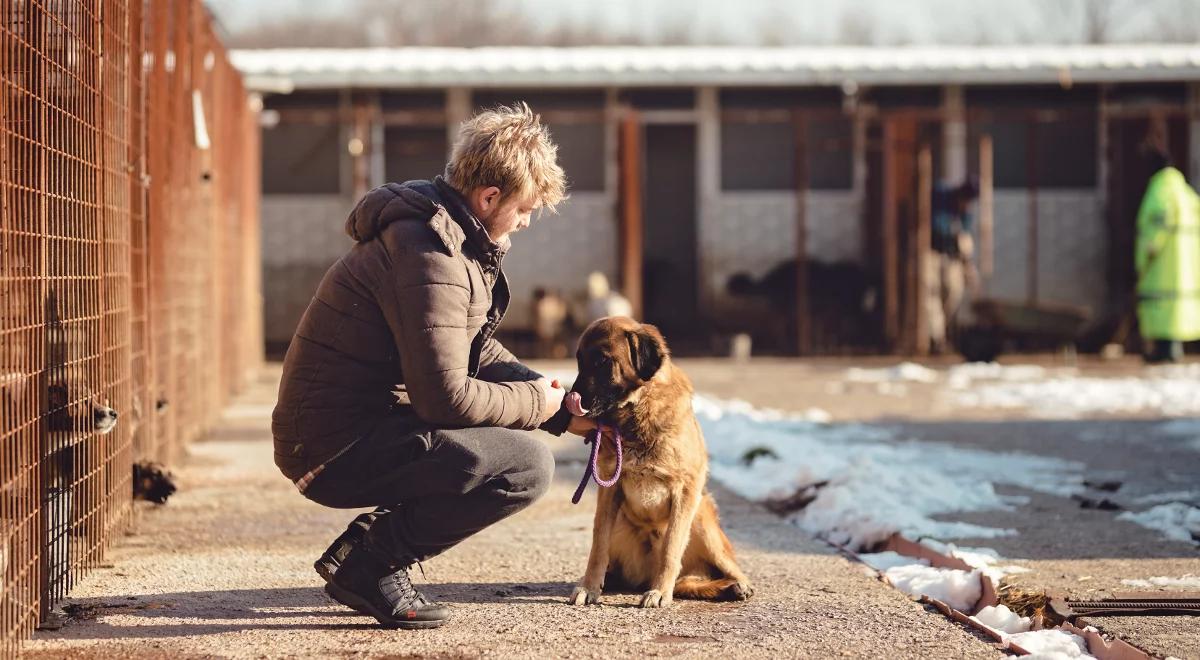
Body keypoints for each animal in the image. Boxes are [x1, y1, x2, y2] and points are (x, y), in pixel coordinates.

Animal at [568, 319, 753, 607]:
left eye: (601, 361)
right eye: (579, 360)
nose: (570, 399)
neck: (638, 410)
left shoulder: (685, 491)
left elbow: (671, 548)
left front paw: (660, 592)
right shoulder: (609, 492)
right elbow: (598, 546)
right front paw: (589, 586)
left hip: (702, 519)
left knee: (726, 568)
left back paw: (737, 586)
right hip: (621, 524)